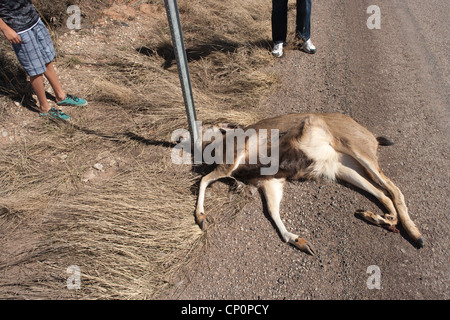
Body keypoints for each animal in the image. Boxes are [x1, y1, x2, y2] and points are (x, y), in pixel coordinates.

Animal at [192, 112, 422, 255]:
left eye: (207, 127)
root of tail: (372, 136)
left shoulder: (232, 162)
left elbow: (203, 180)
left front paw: (201, 218)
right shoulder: (270, 181)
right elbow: (272, 211)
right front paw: (299, 241)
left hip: (358, 151)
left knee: (394, 189)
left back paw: (415, 235)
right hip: (343, 168)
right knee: (382, 193)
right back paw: (378, 218)